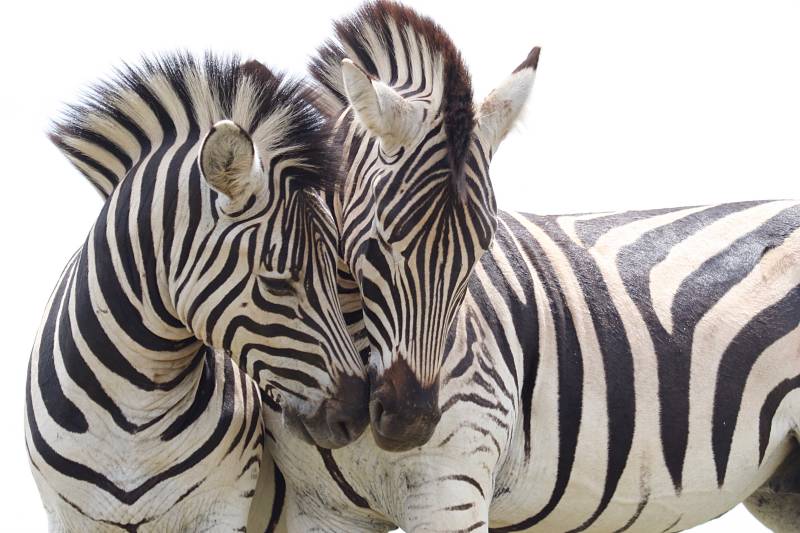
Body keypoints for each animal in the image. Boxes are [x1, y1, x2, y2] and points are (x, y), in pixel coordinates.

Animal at [25, 53, 368, 532]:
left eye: (338, 278)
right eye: (277, 281)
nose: (358, 413)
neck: (136, 410)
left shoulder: (222, 505)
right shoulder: (69, 517)